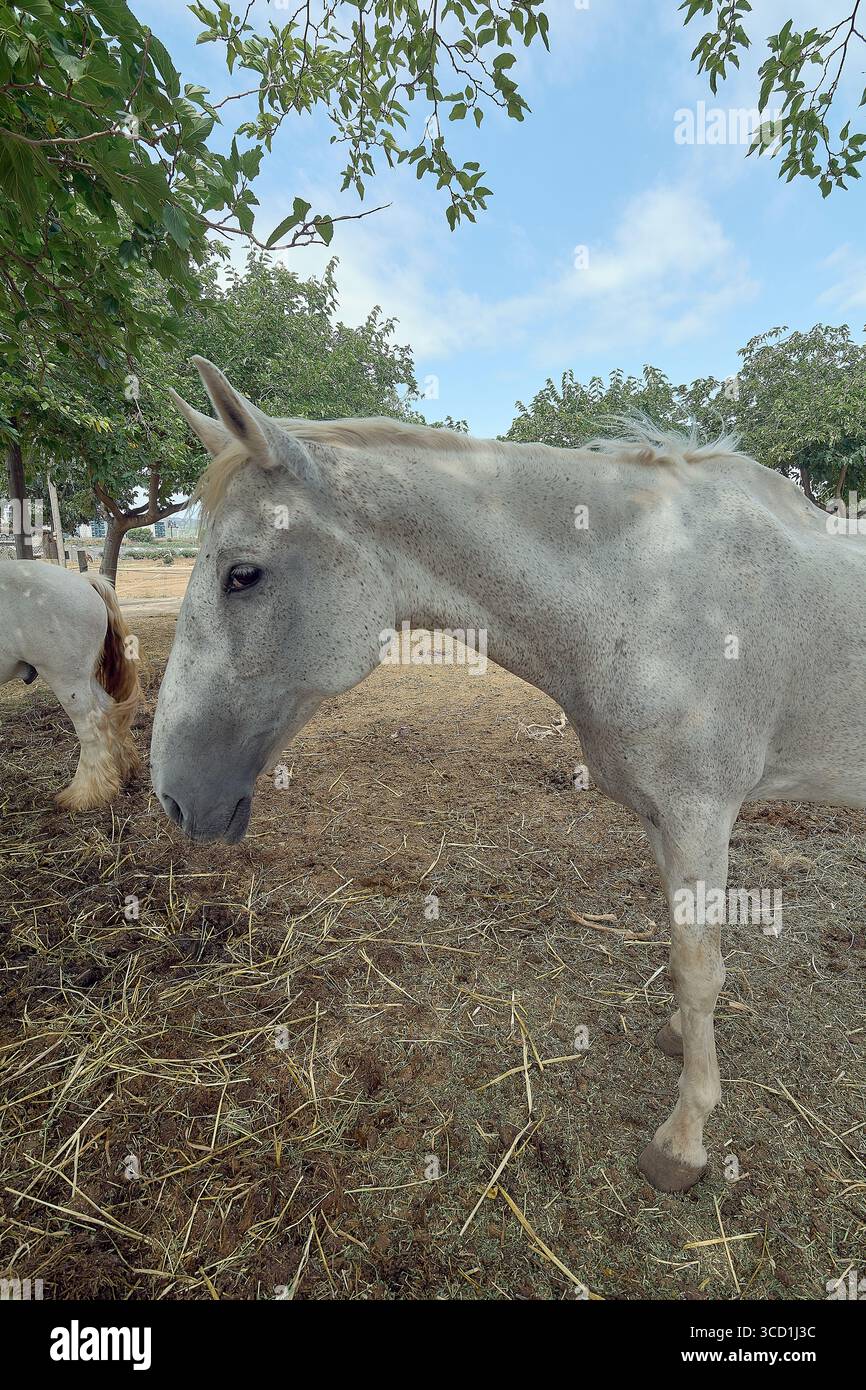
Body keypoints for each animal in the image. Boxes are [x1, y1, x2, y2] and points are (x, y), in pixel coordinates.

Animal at [0, 561, 140, 809]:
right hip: (85, 677)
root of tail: (82, 580)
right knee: (107, 709)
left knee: (91, 724)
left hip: (66, 679)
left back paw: (86, 793)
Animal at [151, 355, 866, 1194]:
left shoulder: (700, 812)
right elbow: (687, 956)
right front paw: (679, 1039)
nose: (176, 796)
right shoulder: (663, 816)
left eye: (244, 574)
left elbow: (700, 969)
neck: (653, 592)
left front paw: (685, 1137)